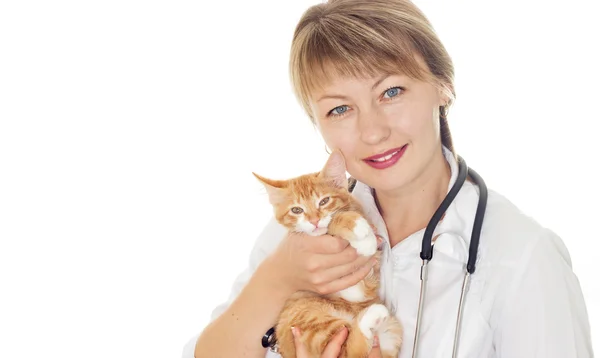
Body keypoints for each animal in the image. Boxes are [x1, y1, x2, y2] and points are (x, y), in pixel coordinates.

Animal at [253, 151, 404, 358]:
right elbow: (333, 223)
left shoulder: (364, 284)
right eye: (296, 210)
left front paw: (364, 237)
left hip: (391, 330)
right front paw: (359, 230)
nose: (314, 221)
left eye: (324, 201)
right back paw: (371, 316)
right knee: (349, 350)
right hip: (305, 316)